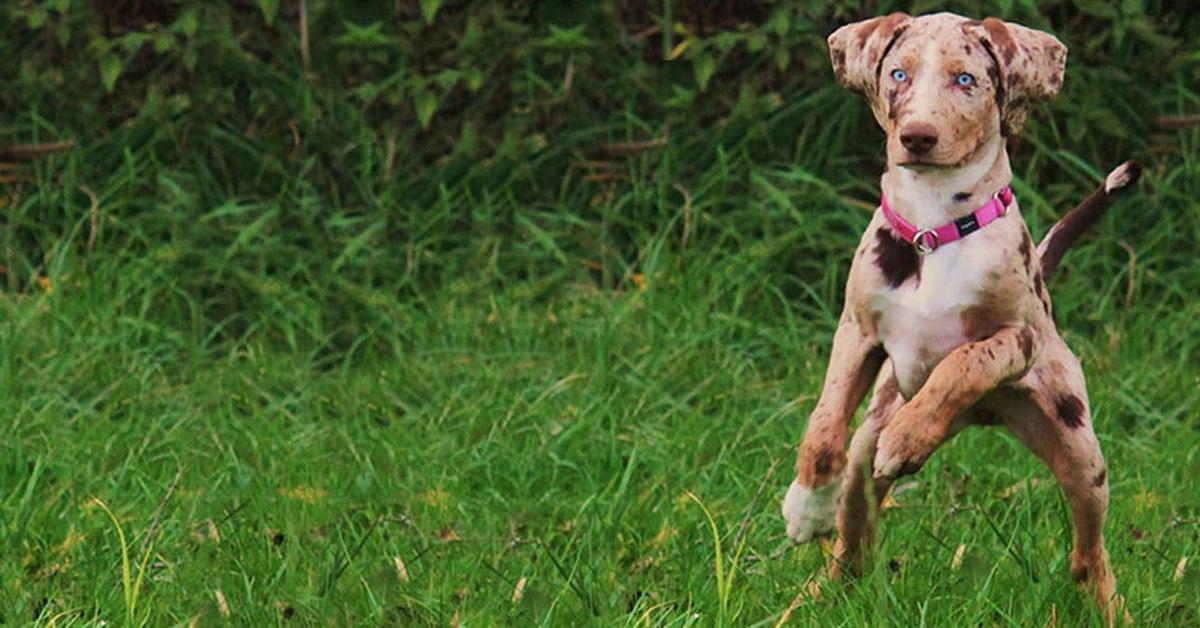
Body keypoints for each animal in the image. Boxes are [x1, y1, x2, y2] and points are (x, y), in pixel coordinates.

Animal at [782, 9, 1137, 624]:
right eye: (898, 74)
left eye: (966, 80)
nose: (917, 136)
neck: (934, 224)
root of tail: (984, 419)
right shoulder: (857, 331)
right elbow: (824, 426)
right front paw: (806, 506)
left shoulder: (1018, 338)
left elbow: (965, 362)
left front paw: (911, 435)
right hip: (865, 457)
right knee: (853, 547)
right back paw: (815, 596)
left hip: (1078, 449)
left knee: (1089, 552)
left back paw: (1108, 604)